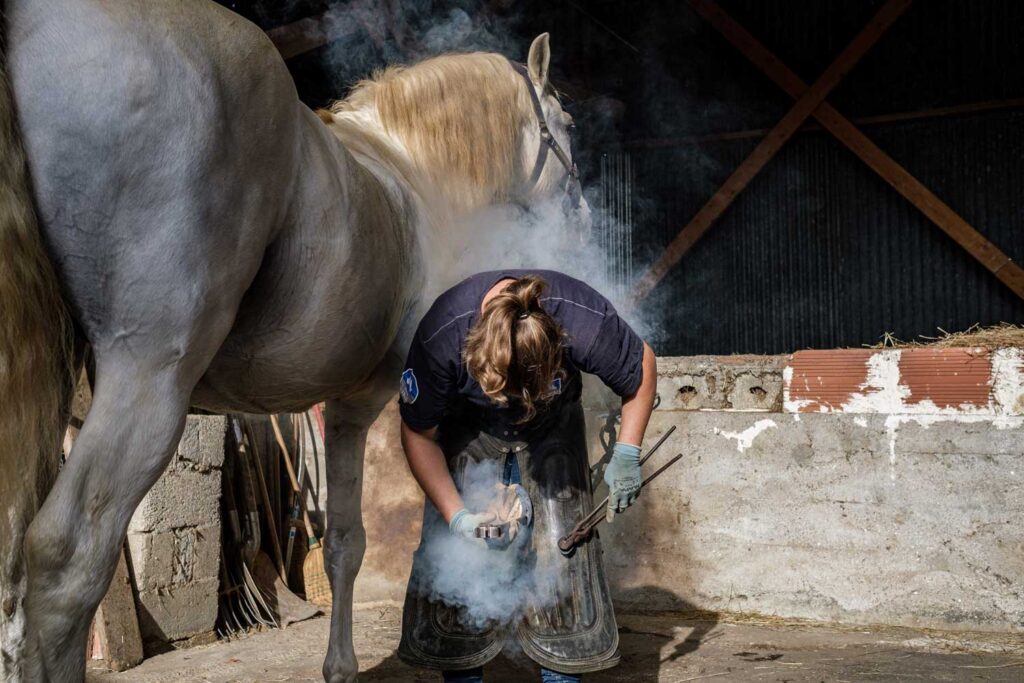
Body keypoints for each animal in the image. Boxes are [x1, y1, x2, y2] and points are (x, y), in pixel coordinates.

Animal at [0, 2, 589, 679]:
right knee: (66, 564)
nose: (583, 216)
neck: (412, 175)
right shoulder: (365, 405)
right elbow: (355, 542)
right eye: (567, 122)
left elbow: (339, 543)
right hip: (146, 382)